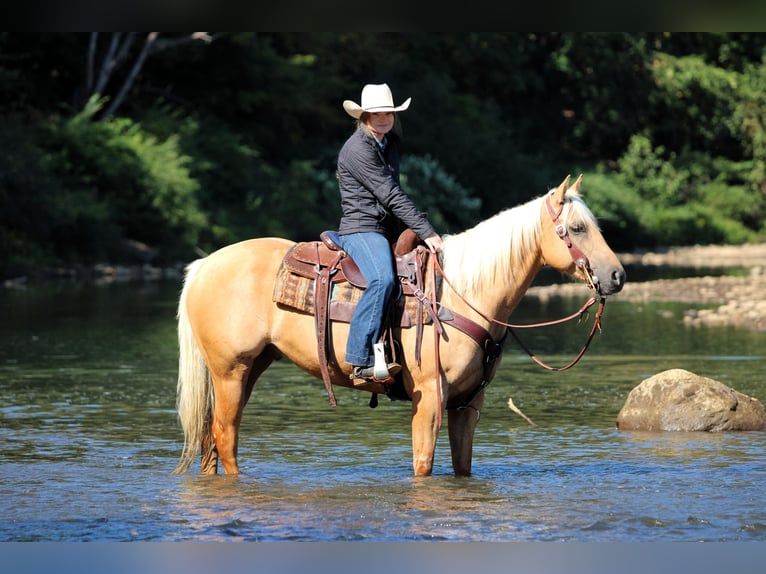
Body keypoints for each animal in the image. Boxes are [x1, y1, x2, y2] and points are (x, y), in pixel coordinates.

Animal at [173, 174, 626, 477]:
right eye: (578, 228)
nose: (617, 276)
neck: (461, 294)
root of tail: (203, 265)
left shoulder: (469, 403)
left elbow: (462, 467)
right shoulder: (429, 397)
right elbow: (423, 465)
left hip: (247, 369)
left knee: (212, 438)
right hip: (230, 371)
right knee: (225, 436)